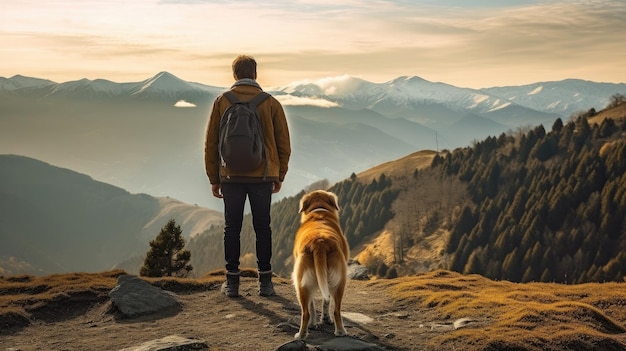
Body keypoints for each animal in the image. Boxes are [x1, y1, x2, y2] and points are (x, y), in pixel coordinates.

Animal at [292, 190, 348, 340]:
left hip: (301, 283)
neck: (319, 211)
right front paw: (322, 320)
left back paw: (301, 335)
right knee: (336, 310)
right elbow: (324, 302)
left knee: (306, 312)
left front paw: (315, 323)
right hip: (339, 281)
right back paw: (340, 331)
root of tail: (319, 243)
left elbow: (315, 305)